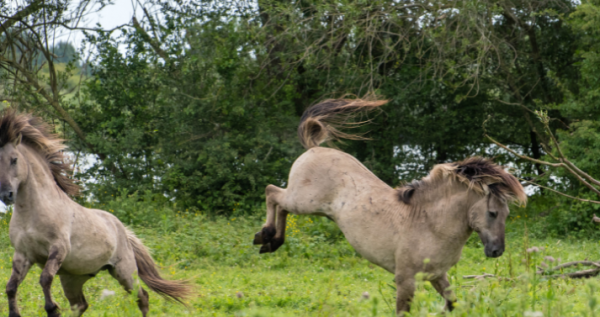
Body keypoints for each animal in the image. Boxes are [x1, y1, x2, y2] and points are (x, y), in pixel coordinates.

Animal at [0, 110, 190, 314]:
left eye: (14, 160)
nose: (6, 195)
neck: (33, 214)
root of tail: (122, 230)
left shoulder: (58, 249)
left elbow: (44, 279)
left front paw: (52, 309)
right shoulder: (22, 255)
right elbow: (10, 287)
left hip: (125, 272)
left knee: (143, 298)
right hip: (72, 277)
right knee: (80, 305)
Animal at [253, 98, 524, 314]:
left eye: (507, 214)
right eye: (492, 213)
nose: (496, 251)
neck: (430, 225)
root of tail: (314, 149)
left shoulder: (438, 276)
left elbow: (452, 303)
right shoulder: (405, 280)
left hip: (309, 205)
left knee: (279, 204)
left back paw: (271, 243)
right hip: (303, 200)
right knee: (272, 193)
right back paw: (265, 237)